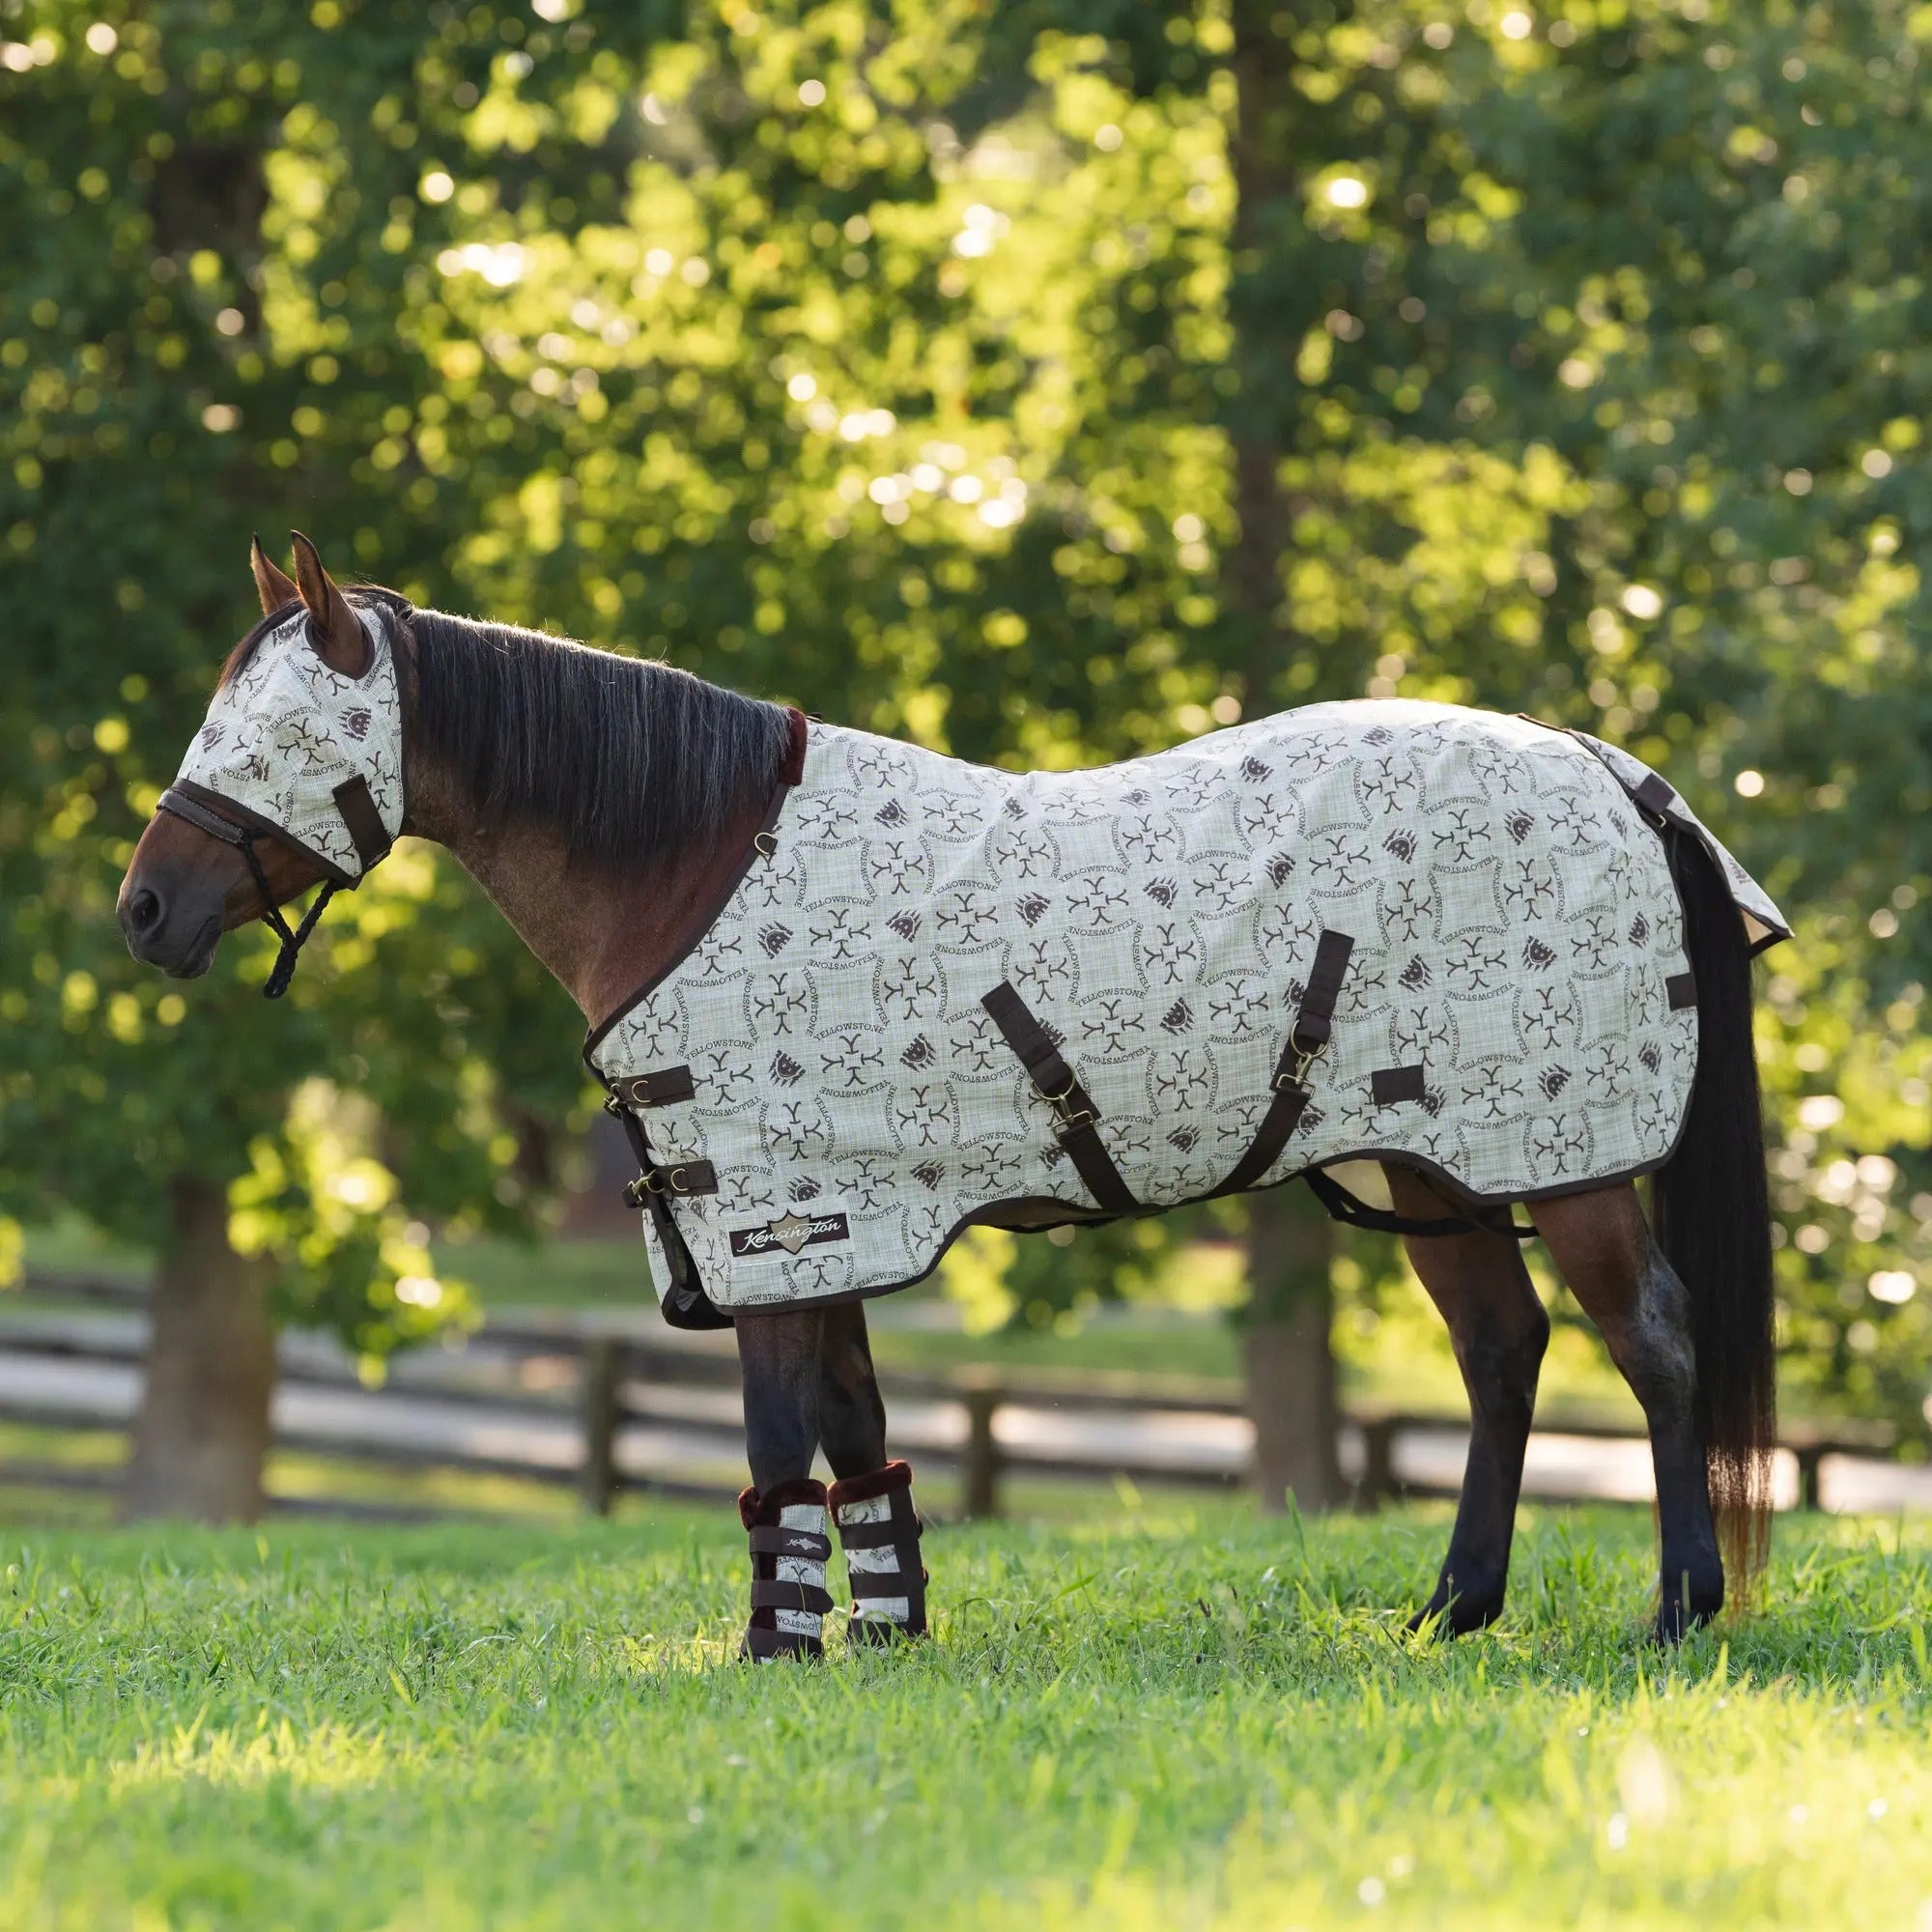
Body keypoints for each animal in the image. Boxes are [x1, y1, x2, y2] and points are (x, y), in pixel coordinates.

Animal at [119, 533, 1784, 1653]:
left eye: (271, 739)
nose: (144, 913)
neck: (691, 861)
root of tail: (1611, 769)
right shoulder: (831, 1225)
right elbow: (858, 1428)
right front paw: (886, 1630)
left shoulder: (778, 1220)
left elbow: (775, 1438)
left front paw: (775, 1648)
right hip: (1430, 1160)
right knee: (1504, 1356)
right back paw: (1452, 1610)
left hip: (1562, 1158)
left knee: (1654, 1345)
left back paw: (1677, 1612)